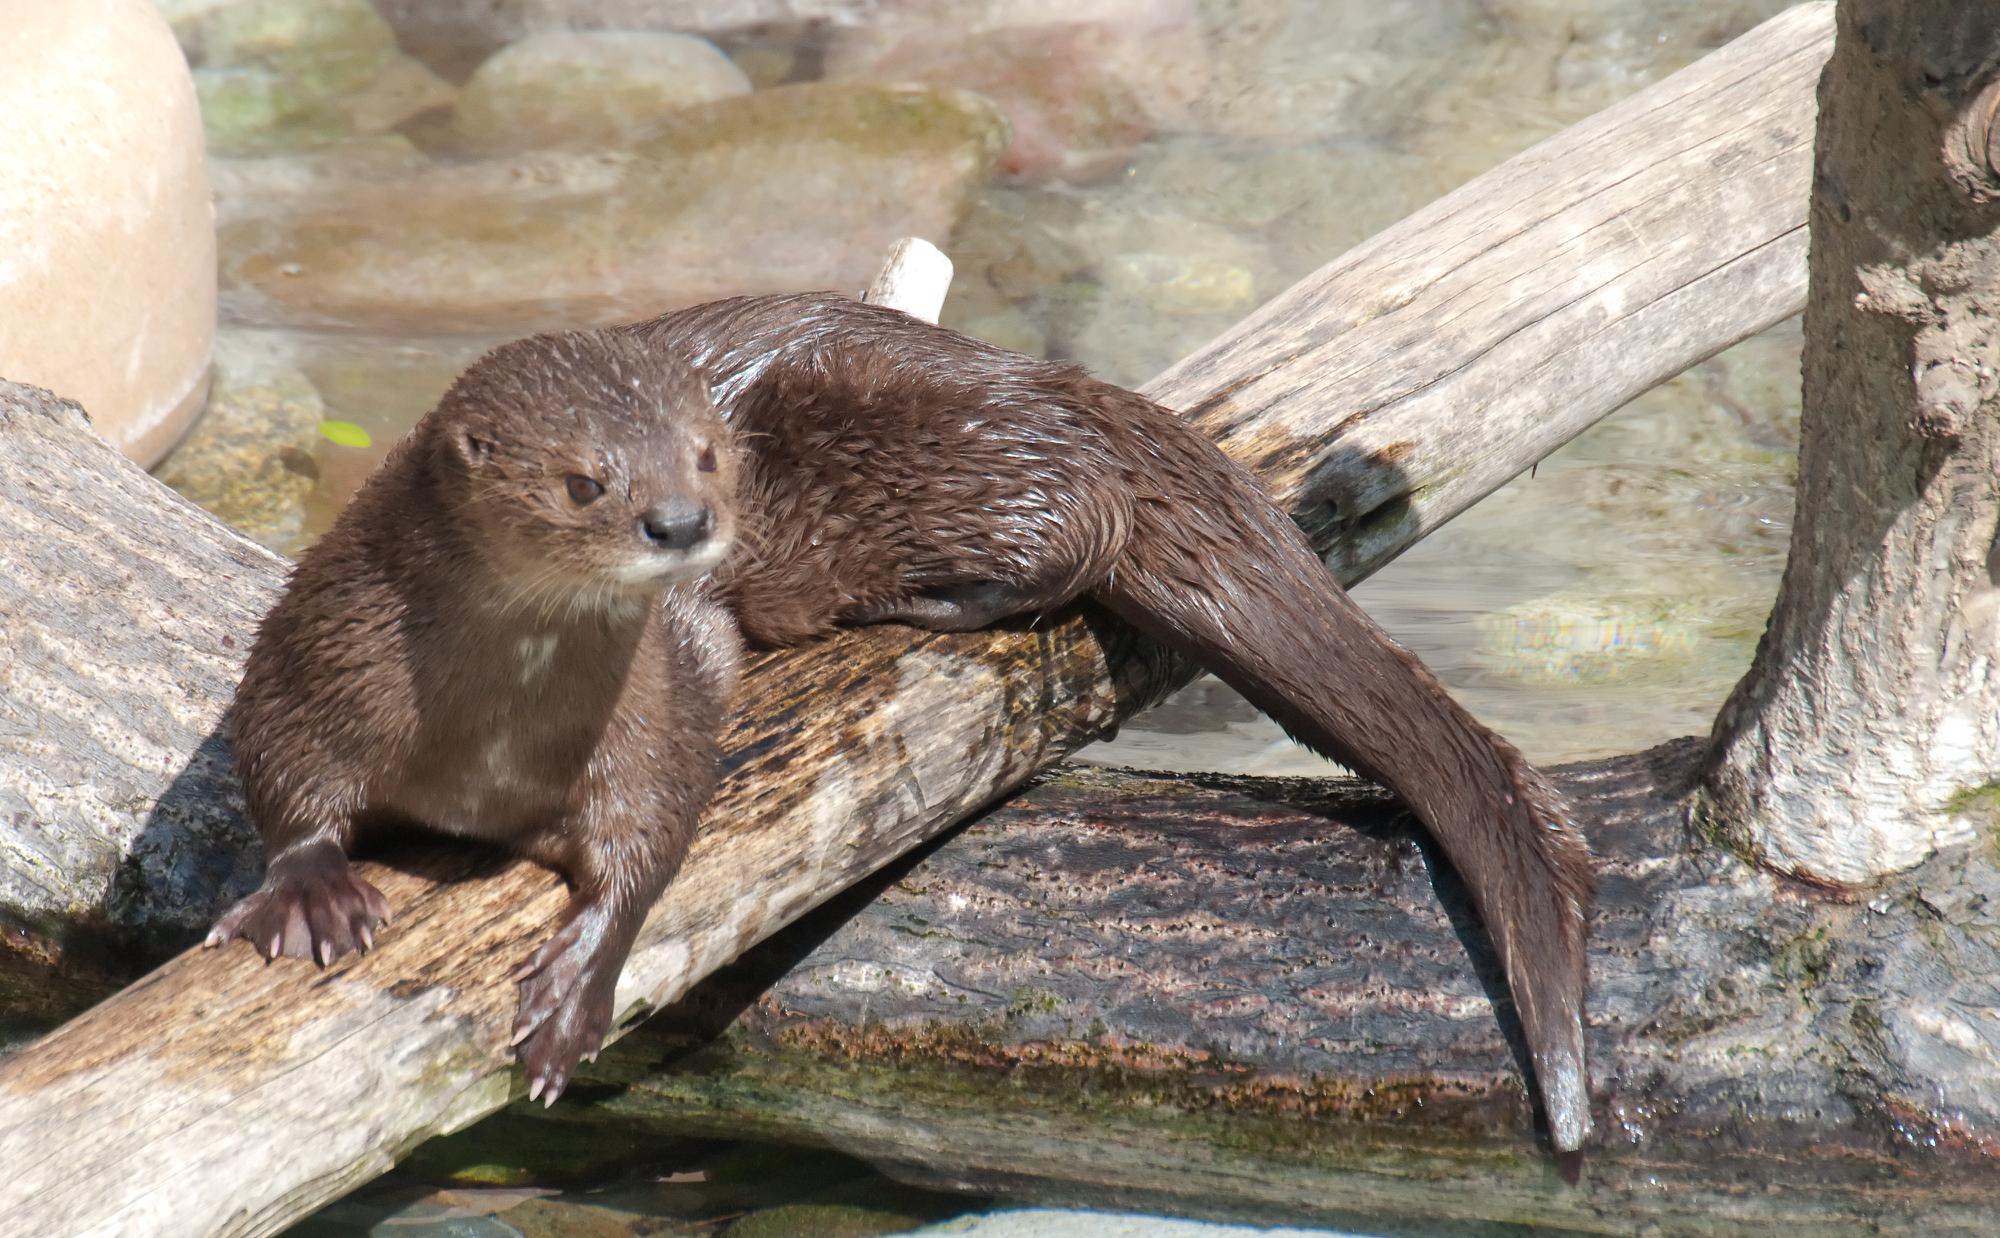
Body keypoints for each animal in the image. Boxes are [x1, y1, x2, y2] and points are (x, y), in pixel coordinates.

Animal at [207, 330, 748, 1104]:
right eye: (582, 483)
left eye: (705, 454)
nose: (681, 522)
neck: (494, 741)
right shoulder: (316, 655)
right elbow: (279, 756)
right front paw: (315, 894)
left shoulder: (656, 716)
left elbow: (654, 834)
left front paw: (574, 989)